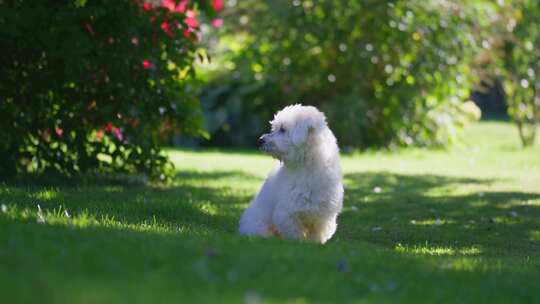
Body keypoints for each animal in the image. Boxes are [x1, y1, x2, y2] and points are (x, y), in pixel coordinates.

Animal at [239, 104, 344, 245]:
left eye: (283, 129)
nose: (260, 140)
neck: (305, 165)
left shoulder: (324, 215)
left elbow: (317, 233)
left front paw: (315, 244)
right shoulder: (287, 213)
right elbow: (294, 232)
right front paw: (298, 242)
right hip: (258, 224)